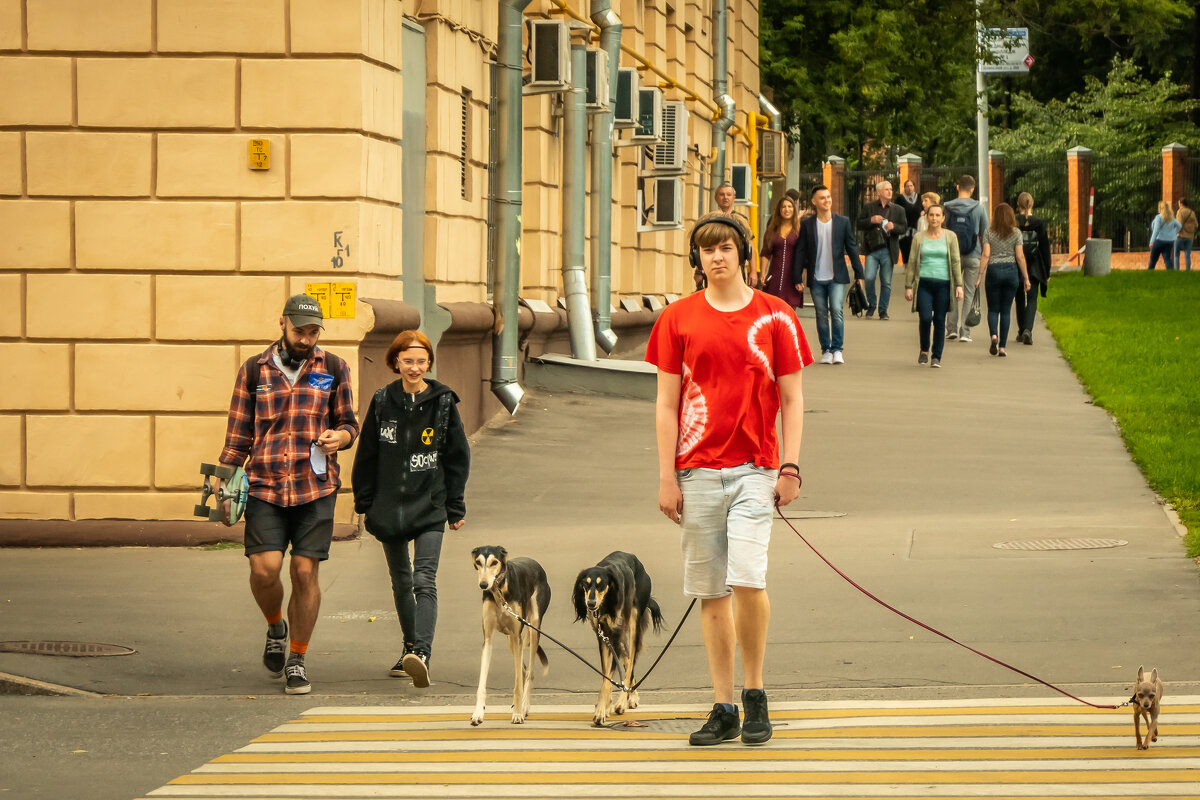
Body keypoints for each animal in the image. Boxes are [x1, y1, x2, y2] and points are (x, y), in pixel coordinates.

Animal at [470, 546, 549, 729]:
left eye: (494, 562)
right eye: (478, 562)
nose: (483, 585)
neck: (499, 589)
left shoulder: (518, 636)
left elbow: (517, 685)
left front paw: (518, 714)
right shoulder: (488, 640)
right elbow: (481, 684)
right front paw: (478, 713)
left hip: (533, 629)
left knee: (529, 673)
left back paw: (524, 706)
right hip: (512, 641)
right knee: (524, 670)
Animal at [571, 551, 667, 724]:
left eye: (601, 584)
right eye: (585, 584)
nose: (590, 603)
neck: (606, 603)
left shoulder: (615, 637)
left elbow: (609, 677)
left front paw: (601, 711)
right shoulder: (603, 636)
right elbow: (606, 675)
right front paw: (605, 706)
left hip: (633, 623)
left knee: (630, 664)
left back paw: (623, 701)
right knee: (628, 660)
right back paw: (631, 696)